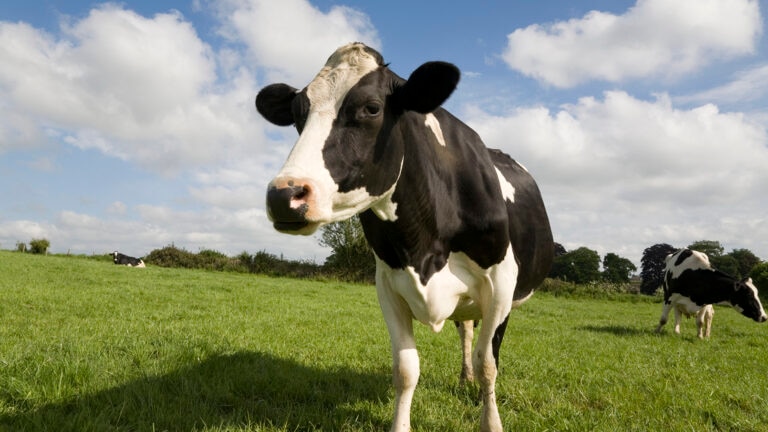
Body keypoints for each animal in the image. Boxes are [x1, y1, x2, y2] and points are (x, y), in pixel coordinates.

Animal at [256, 42, 553, 432]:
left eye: (371, 108)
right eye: (296, 115)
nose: (283, 195)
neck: (423, 247)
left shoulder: (501, 283)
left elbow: (489, 364)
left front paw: (491, 421)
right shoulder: (388, 284)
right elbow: (406, 368)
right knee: (465, 330)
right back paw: (464, 378)